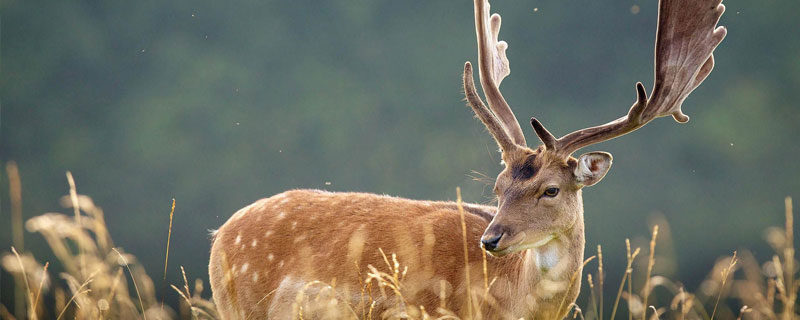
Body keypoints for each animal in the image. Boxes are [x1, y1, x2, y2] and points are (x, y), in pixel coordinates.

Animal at [209, 0, 728, 318]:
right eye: (498, 188)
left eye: (551, 189)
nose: (491, 238)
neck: (512, 305)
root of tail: (220, 235)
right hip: (239, 304)